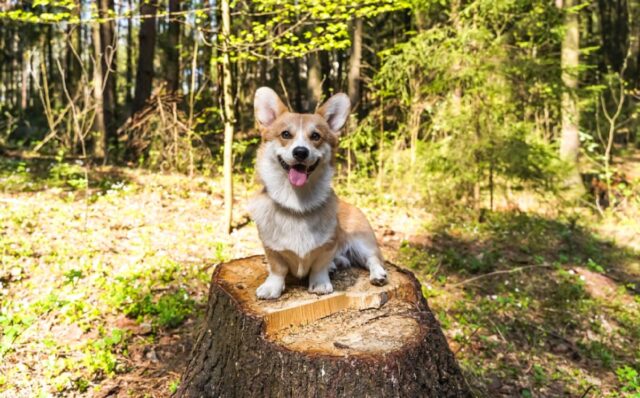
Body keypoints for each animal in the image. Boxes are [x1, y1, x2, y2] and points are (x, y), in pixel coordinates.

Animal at [248, 87, 388, 298]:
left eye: (315, 136)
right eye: (286, 134)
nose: (300, 152)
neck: (297, 205)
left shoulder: (328, 245)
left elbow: (319, 267)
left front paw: (320, 284)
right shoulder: (271, 248)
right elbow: (277, 269)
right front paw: (272, 288)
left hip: (362, 240)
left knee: (373, 258)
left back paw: (377, 275)